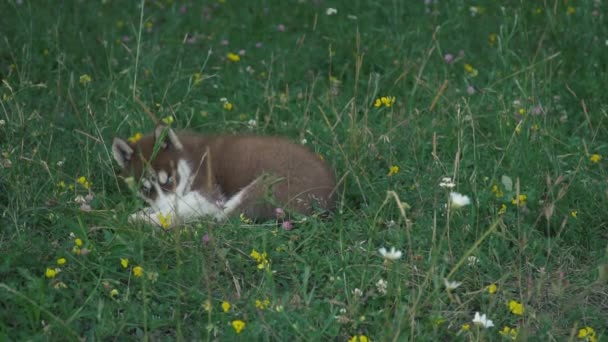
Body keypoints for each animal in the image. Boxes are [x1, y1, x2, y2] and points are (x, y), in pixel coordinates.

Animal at [113, 125, 338, 227]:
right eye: (145, 189)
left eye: (169, 180)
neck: (188, 160)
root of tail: (330, 198)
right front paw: (144, 212)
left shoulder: (208, 192)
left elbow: (178, 207)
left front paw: (143, 218)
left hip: (265, 186)